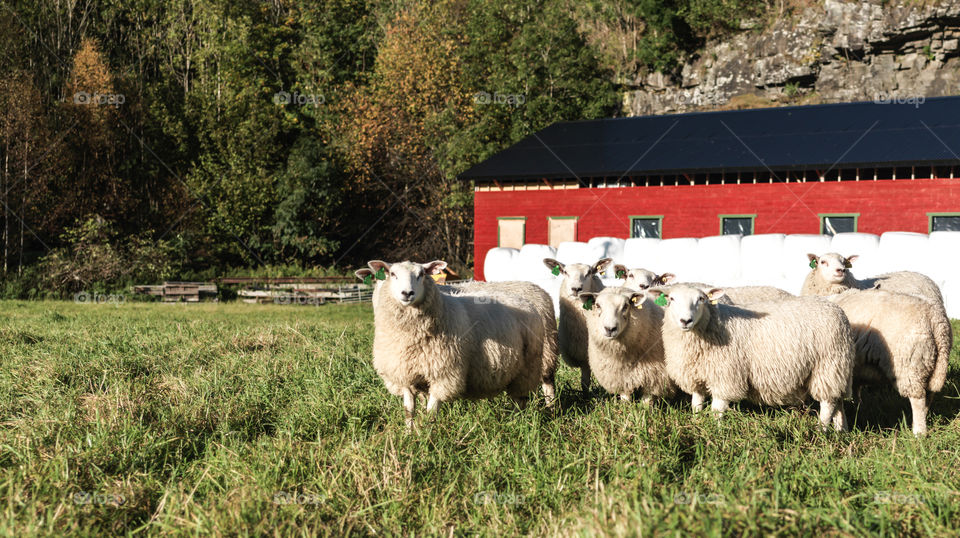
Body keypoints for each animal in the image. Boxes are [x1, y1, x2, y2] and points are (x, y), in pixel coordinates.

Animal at [364, 260, 552, 428]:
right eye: (392, 274)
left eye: (421, 274)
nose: (407, 293)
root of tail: (525, 301)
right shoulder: (404, 375)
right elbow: (408, 411)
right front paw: (410, 435)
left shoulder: (443, 373)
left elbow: (431, 412)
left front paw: (427, 436)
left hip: (529, 365)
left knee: (524, 396)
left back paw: (518, 422)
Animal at [652, 282, 856, 430]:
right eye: (671, 298)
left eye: (701, 298)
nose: (685, 320)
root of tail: (835, 308)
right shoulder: (697, 375)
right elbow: (697, 405)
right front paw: (696, 425)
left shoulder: (725, 376)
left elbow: (717, 410)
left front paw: (715, 431)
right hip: (838, 371)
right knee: (838, 403)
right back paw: (841, 431)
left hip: (828, 366)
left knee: (827, 405)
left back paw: (822, 431)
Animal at [824, 286, 952, 434]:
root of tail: (936, 319)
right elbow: (855, 392)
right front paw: (856, 409)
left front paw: (840, 427)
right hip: (931, 365)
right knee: (929, 396)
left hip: (910, 367)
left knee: (918, 400)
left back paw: (919, 432)